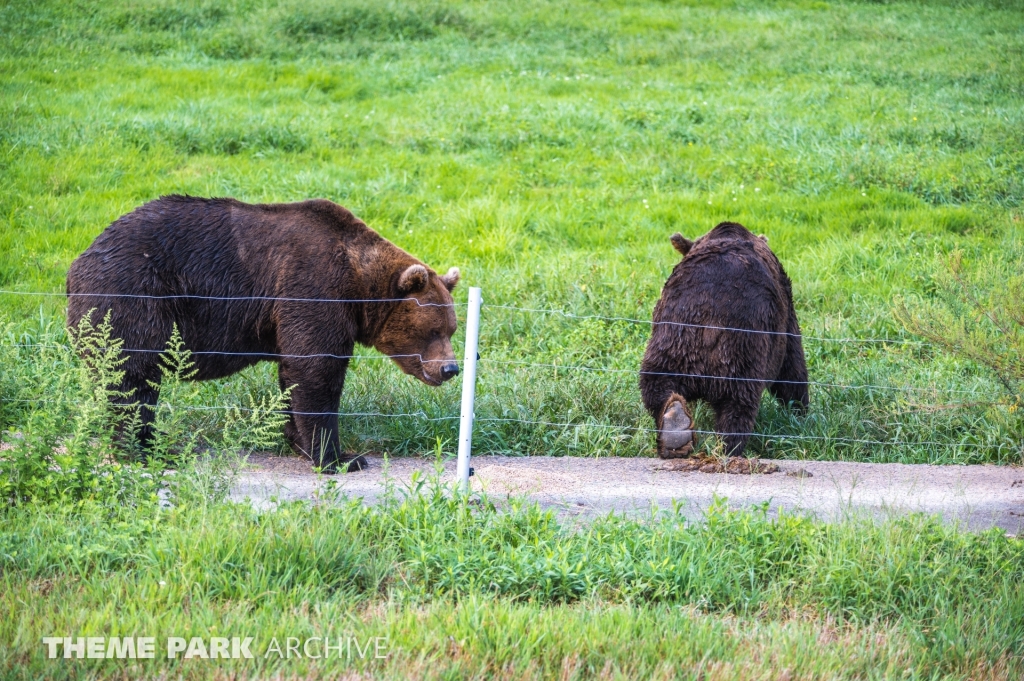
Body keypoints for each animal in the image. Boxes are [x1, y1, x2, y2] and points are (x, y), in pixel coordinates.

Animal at [67, 193, 460, 471]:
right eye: (433, 329)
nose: (450, 368)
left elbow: (293, 374)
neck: (359, 286)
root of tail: (76, 264)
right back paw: (149, 448)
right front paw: (342, 458)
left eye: (453, 329)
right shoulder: (313, 287)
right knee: (133, 376)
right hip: (134, 296)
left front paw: (300, 442)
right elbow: (318, 371)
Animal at [638, 222, 806, 456]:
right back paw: (727, 447)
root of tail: (710, 324)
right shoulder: (785, 313)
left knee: (655, 384)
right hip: (742, 351)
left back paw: (675, 426)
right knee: (737, 408)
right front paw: (799, 410)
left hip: (672, 341)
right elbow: (792, 367)